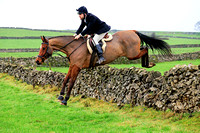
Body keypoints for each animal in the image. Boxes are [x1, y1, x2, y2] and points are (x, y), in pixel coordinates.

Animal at [35, 29, 171, 105]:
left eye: (43, 48)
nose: (37, 61)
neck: (73, 47)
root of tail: (133, 31)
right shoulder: (72, 65)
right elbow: (65, 80)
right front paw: (60, 96)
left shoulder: (77, 67)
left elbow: (72, 82)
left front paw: (65, 100)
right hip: (133, 52)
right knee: (144, 48)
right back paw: (147, 64)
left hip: (132, 54)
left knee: (146, 48)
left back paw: (148, 64)